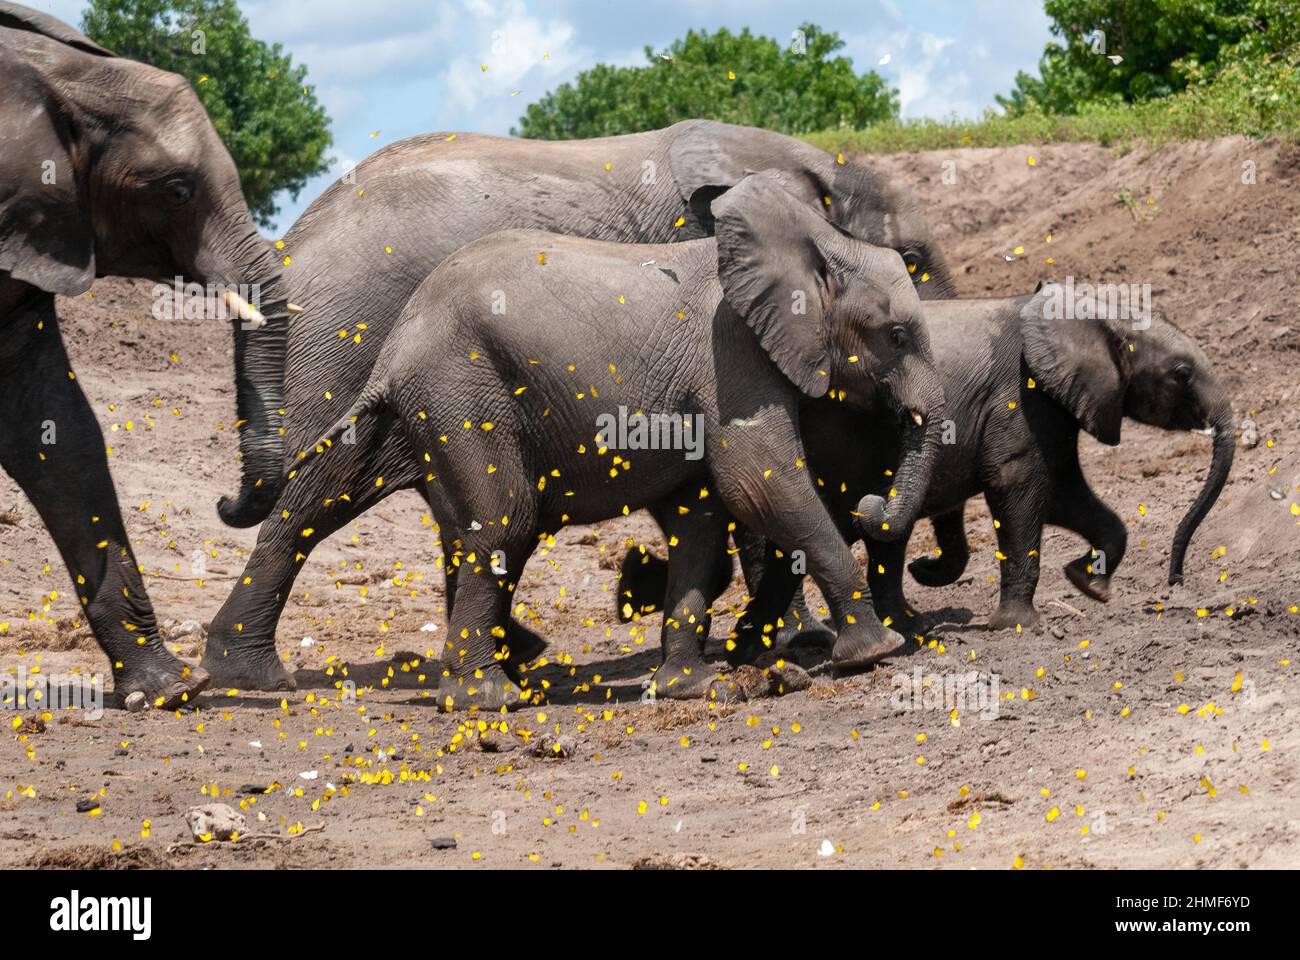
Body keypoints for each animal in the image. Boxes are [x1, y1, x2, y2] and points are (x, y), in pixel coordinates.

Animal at [202, 117, 956, 686]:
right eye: (914, 259)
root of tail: (290, 242)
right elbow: (753, 480)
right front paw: (806, 640)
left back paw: (514, 657)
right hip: (346, 342)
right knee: (320, 496)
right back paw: (256, 675)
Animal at [613, 283, 1232, 642]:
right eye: (1181, 373)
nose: (1176, 582)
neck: (1083, 313)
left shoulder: (1053, 405)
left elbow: (1065, 493)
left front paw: (1089, 584)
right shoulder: (1019, 394)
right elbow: (1020, 488)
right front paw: (1018, 627)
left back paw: (898, 626)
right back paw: (798, 640)